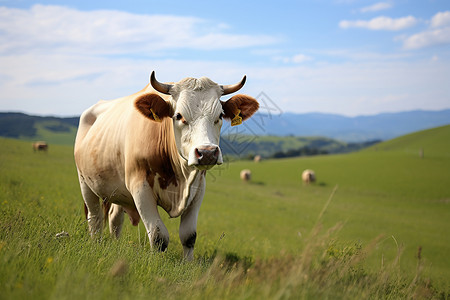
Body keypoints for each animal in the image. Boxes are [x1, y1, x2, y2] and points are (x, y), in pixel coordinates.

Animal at [75, 71, 258, 258]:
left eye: (220, 116)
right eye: (179, 116)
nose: (207, 152)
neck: (182, 178)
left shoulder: (199, 188)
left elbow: (189, 235)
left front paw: (188, 263)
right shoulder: (139, 187)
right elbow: (158, 236)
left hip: (118, 191)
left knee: (114, 218)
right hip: (85, 183)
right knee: (95, 218)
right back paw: (95, 244)